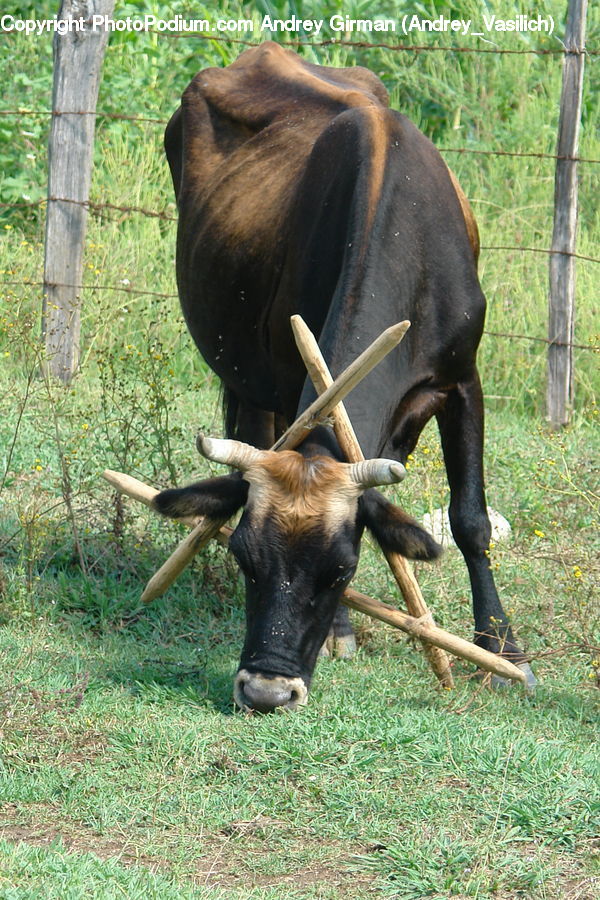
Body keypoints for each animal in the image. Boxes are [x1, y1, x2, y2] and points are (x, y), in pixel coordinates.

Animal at [156, 42, 535, 712]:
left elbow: (470, 519)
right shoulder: (292, 383)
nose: (266, 689)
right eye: (245, 559)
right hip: (246, 376)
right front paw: (342, 631)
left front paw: (500, 650)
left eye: (342, 568)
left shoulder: (464, 381)